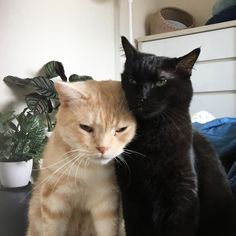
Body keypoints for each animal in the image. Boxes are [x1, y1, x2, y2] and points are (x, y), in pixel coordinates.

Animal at [26, 80, 136, 235]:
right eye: (86, 127)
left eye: (121, 129)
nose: (103, 148)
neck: (86, 168)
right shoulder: (54, 202)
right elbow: (53, 230)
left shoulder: (107, 202)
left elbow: (108, 229)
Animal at [115, 37, 236, 236]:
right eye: (132, 79)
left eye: (161, 82)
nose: (142, 98)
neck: (151, 134)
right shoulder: (131, 193)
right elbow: (134, 227)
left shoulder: (182, 193)